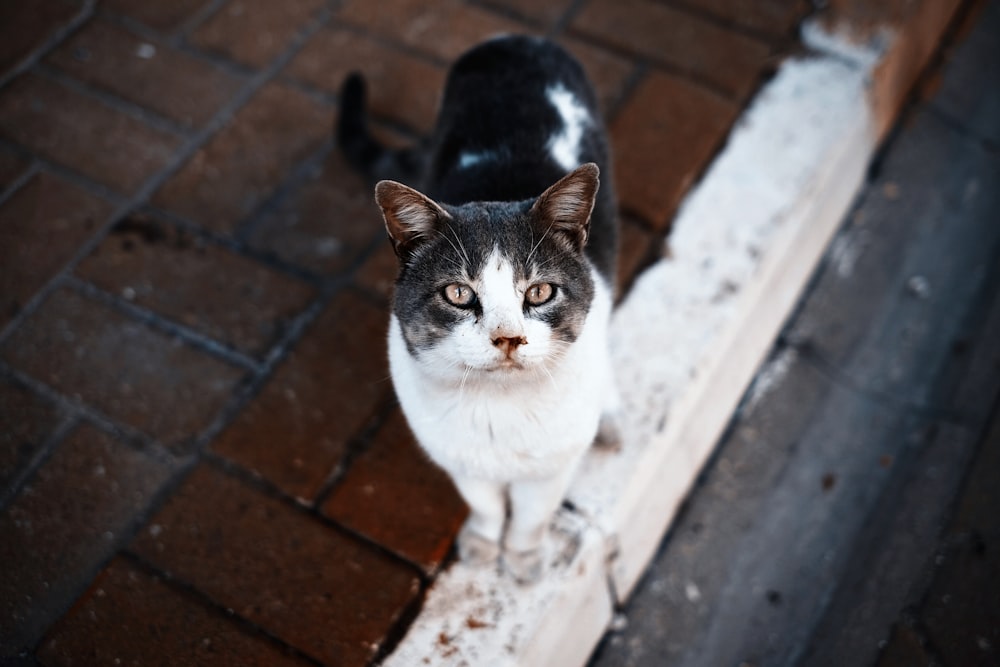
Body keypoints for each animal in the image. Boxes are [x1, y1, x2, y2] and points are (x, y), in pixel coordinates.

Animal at [336, 34, 616, 580]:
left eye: (539, 292)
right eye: (459, 294)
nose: (508, 337)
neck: (500, 409)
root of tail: (514, 39)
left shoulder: (553, 463)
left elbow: (533, 512)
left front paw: (524, 559)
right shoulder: (455, 453)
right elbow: (484, 502)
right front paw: (485, 543)